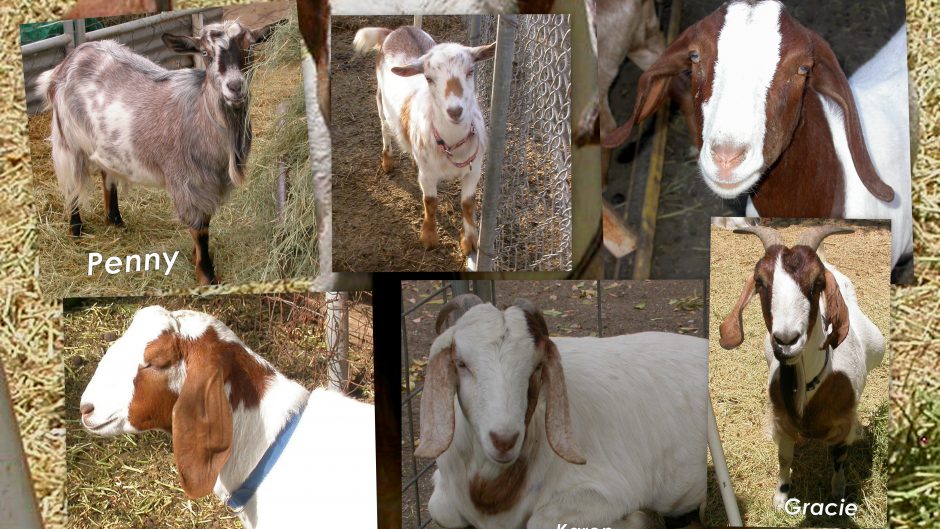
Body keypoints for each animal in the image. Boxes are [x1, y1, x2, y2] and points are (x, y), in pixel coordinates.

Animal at [36, 21, 263, 285]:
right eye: (205, 53)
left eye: (250, 47)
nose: (235, 87)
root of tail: (68, 60)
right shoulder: (188, 181)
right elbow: (200, 229)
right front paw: (206, 276)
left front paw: (194, 258)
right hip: (68, 141)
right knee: (72, 184)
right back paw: (76, 231)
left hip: (104, 143)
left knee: (106, 174)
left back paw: (115, 220)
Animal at [352, 26, 495, 255]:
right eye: (429, 78)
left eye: (470, 71)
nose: (455, 111)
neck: (452, 145)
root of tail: (396, 30)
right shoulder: (427, 174)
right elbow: (430, 202)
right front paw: (428, 237)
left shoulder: (474, 170)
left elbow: (467, 203)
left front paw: (470, 241)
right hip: (380, 100)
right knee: (385, 129)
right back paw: (387, 161)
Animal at [415, 294, 708, 529]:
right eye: (461, 363)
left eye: (535, 367)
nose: (504, 440)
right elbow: (439, 509)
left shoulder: (608, 491)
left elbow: (539, 522)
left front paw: (641, 518)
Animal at [718, 225, 885, 508]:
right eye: (760, 282)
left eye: (818, 283)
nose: (786, 341)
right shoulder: (781, 424)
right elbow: (784, 458)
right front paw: (781, 497)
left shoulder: (842, 425)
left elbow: (839, 458)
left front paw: (838, 491)